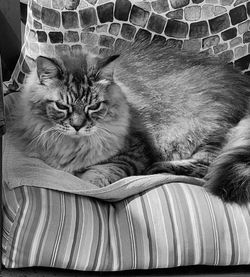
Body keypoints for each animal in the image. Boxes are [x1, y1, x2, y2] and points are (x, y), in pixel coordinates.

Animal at [7, 39, 250, 203]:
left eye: (93, 107)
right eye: (62, 106)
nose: (77, 126)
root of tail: (242, 82)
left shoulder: (134, 152)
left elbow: (97, 176)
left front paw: (90, 180)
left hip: (203, 129)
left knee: (205, 166)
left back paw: (157, 168)